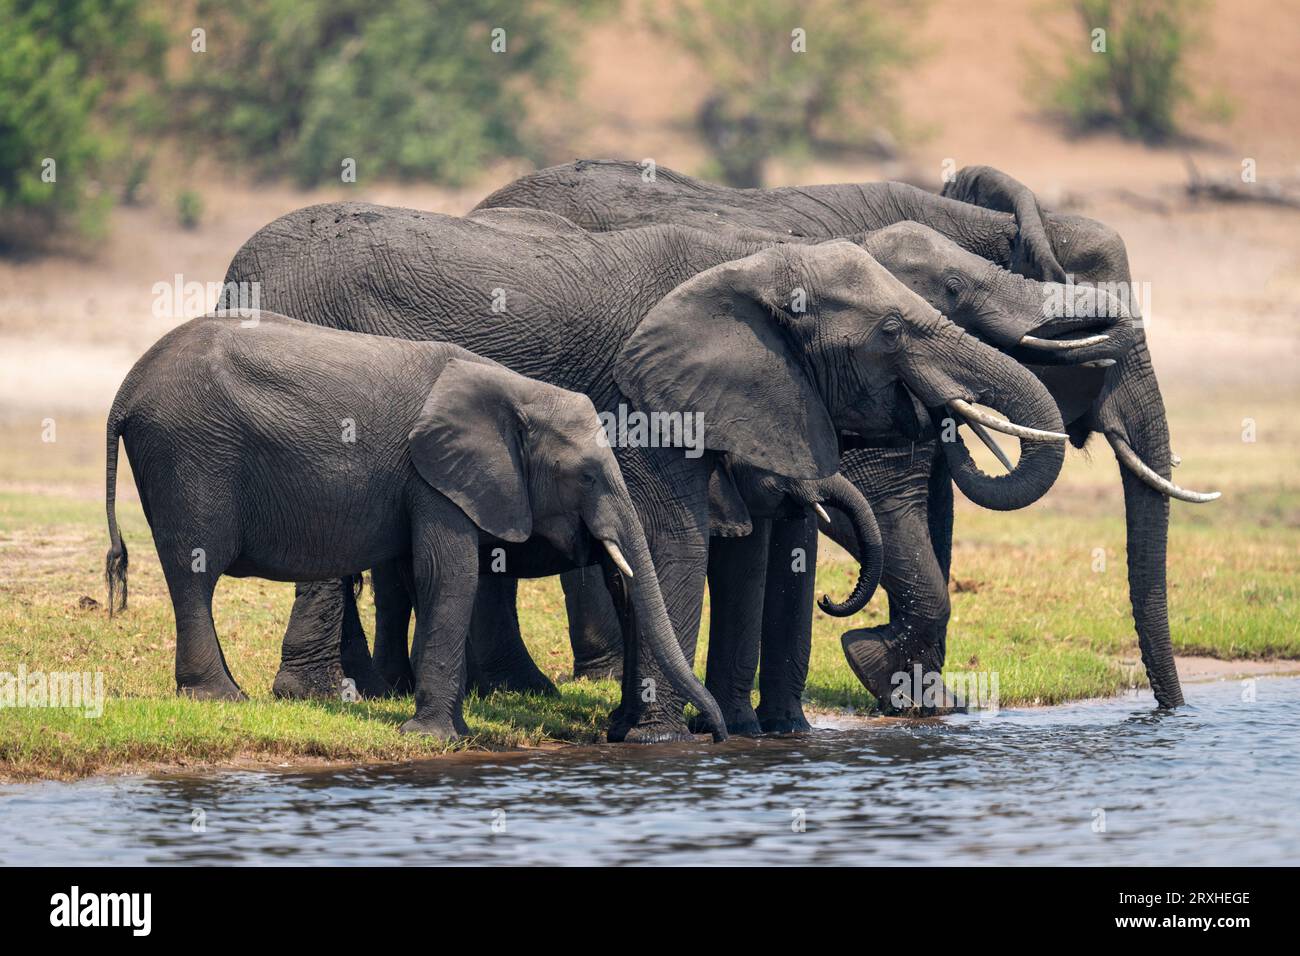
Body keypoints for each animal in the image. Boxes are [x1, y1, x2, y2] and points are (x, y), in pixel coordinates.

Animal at [102, 311, 728, 740]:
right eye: (590, 476)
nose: (716, 733)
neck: (517, 391)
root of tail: (126, 390)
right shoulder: (434, 478)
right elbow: (446, 576)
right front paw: (437, 739)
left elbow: (421, 577)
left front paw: (446, 732)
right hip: (189, 456)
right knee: (195, 574)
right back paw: (222, 701)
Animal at [221, 206, 1069, 741]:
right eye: (893, 330)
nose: (852, 617)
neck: (757, 259)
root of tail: (235, 271)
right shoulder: (649, 398)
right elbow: (676, 544)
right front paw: (667, 742)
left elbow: (759, 552)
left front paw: (761, 734)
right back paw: (322, 695)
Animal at [475, 159, 1220, 711]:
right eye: (1092, 343)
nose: (1169, 714)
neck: (979, 225)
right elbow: (886, 500)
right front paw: (886, 672)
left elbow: (931, 507)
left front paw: (922, 695)